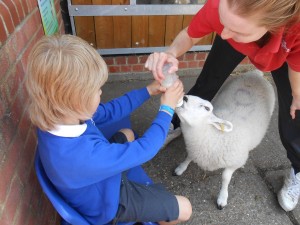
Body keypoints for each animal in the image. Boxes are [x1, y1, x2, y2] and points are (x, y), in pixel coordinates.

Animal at [173, 70, 274, 209]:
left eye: (207, 108)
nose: (185, 98)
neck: (214, 137)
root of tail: (256, 74)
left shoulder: (234, 162)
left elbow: (225, 177)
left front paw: (222, 197)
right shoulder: (195, 149)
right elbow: (189, 156)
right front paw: (181, 168)